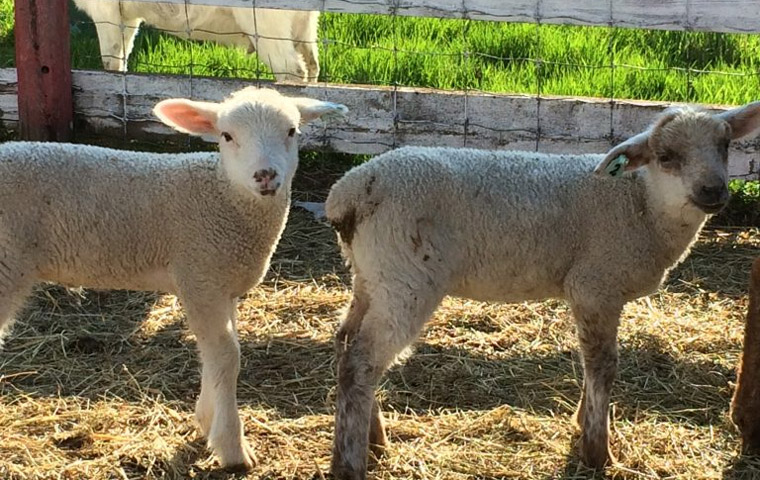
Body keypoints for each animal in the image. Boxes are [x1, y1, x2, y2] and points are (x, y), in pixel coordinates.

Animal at [0, 87, 347, 470]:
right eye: (227, 136)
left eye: (292, 131)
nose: (266, 175)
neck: (225, 197)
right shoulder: (199, 276)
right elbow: (227, 356)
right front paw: (233, 448)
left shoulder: (219, 283)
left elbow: (217, 353)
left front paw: (207, 420)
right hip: (5, 264)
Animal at [73, 0, 320, 82]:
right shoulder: (128, 17)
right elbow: (121, 59)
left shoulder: (106, 11)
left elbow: (110, 62)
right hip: (304, 26)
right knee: (312, 67)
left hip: (267, 27)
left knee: (292, 72)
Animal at [324, 101, 760, 479]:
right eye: (666, 156)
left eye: (724, 145)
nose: (713, 191)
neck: (641, 203)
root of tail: (348, 192)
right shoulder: (594, 285)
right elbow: (602, 365)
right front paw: (597, 451)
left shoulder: (595, 291)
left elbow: (593, 365)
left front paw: (584, 425)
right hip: (407, 278)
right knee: (362, 362)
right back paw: (350, 463)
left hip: (371, 275)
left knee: (346, 342)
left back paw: (373, 439)